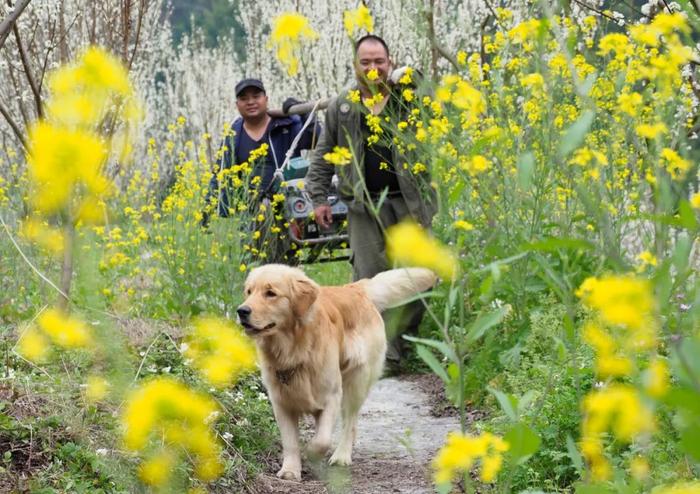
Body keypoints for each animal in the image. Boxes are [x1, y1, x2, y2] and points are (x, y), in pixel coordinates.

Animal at [238, 264, 434, 480]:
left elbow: (322, 440)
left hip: (356, 382)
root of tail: (356, 288)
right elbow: (290, 441)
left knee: (349, 420)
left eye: (270, 293)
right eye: (249, 292)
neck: (296, 350)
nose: (241, 311)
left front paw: (311, 453)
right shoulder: (281, 402)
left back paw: (342, 455)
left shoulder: (331, 395)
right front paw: (290, 470)